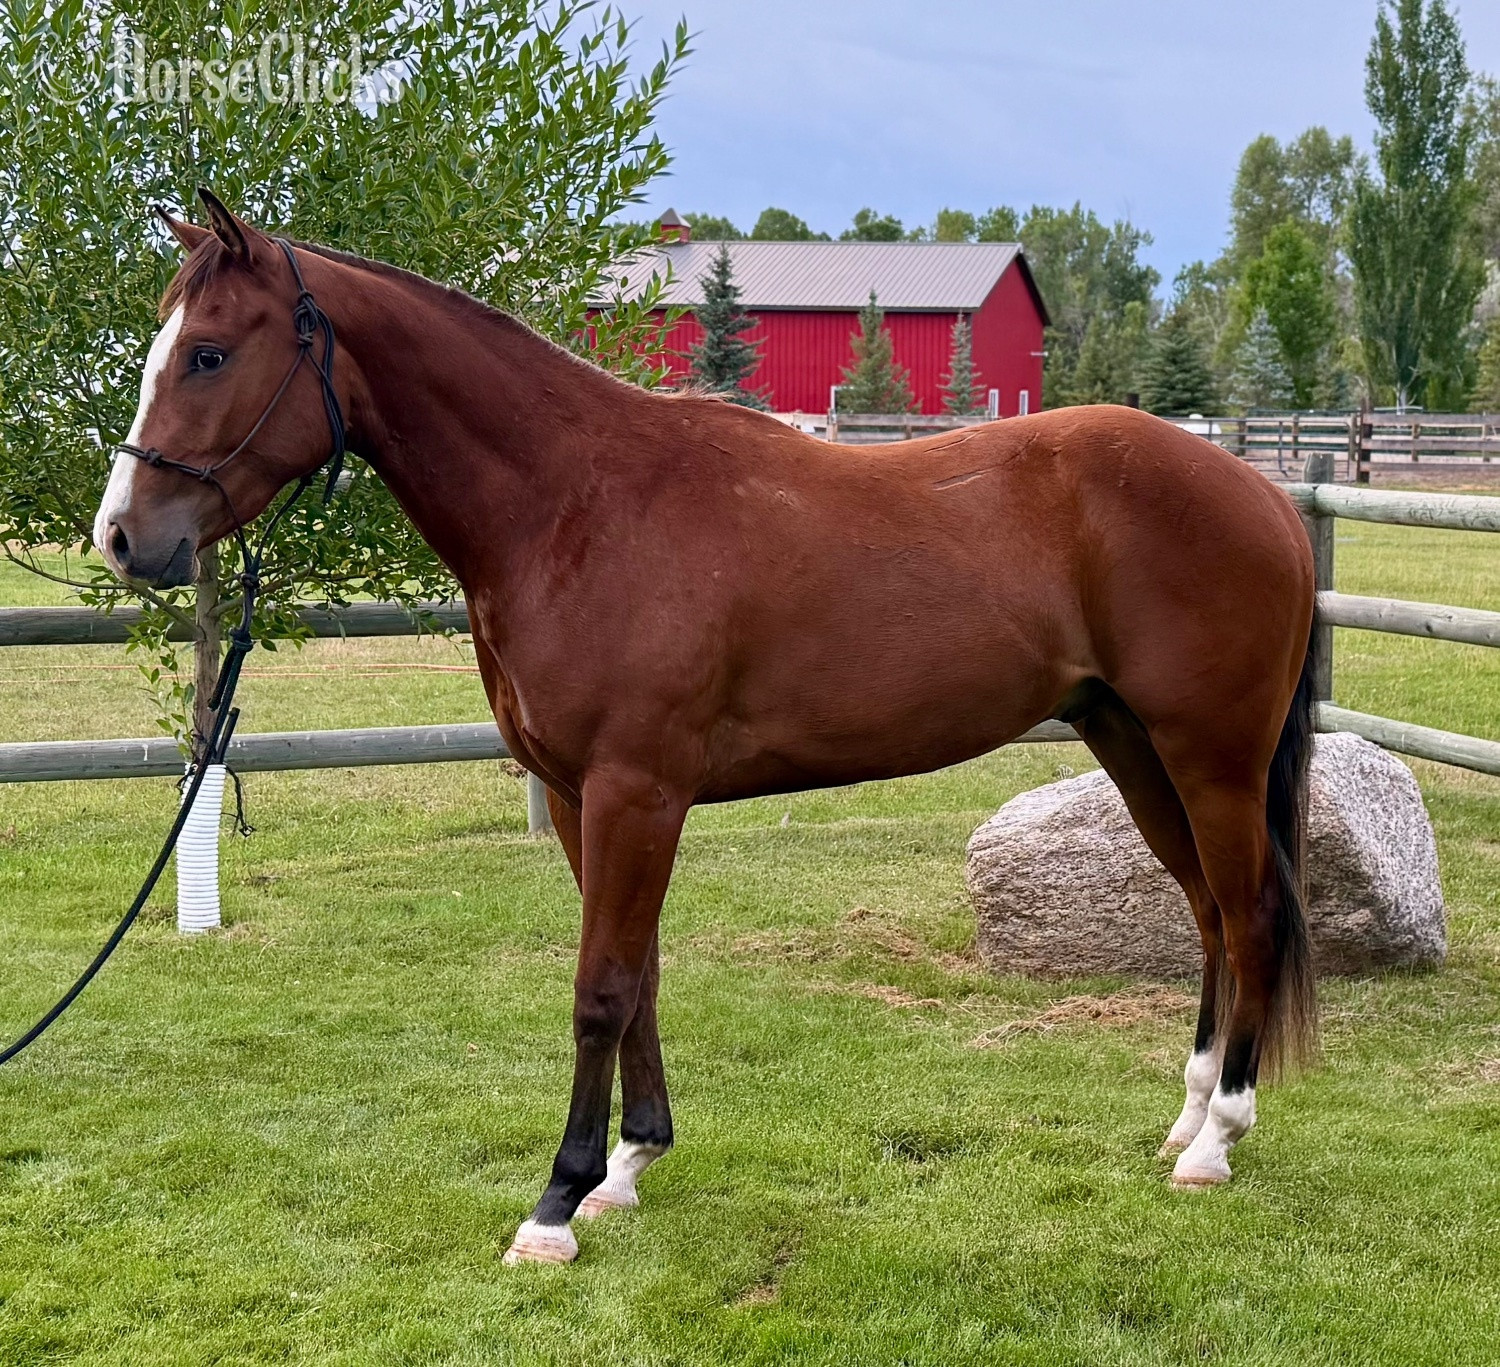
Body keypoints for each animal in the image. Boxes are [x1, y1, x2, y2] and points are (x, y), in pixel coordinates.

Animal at [93, 190, 1317, 1265]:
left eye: (209, 353)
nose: (122, 537)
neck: (574, 506)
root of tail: (1261, 491)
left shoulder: (637, 790)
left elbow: (598, 987)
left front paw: (555, 1204)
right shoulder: (584, 797)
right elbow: (637, 973)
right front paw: (631, 1164)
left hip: (1209, 756)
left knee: (1250, 912)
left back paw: (1218, 1140)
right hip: (1131, 743)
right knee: (1207, 911)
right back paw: (1187, 1115)